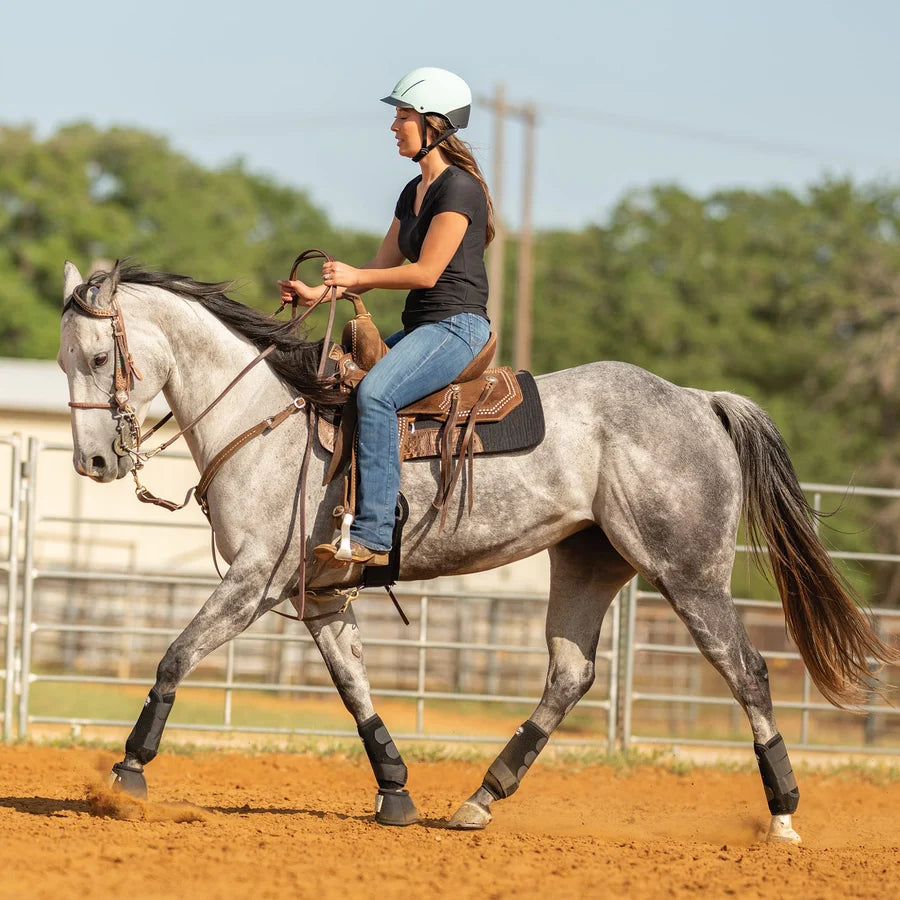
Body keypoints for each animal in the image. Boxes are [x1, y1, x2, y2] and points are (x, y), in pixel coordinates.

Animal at [58, 260, 897, 843]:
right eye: (67, 362)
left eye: (99, 358)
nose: (93, 463)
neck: (268, 420)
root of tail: (699, 400)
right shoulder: (319, 596)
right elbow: (355, 688)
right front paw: (396, 791)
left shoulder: (255, 581)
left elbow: (175, 656)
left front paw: (126, 775)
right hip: (588, 562)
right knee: (570, 674)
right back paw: (480, 797)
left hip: (687, 573)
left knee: (748, 672)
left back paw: (782, 816)